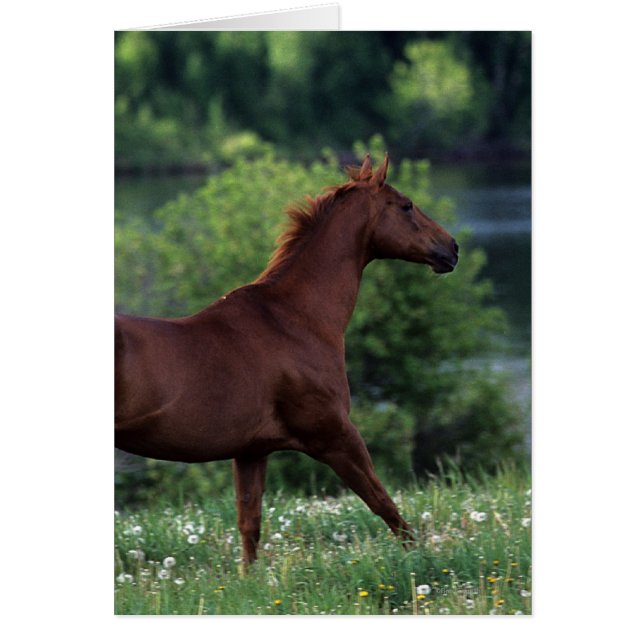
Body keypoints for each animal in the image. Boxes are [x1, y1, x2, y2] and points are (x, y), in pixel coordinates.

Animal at [115, 153, 459, 566]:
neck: (294, 319)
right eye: (406, 205)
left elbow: (249, 527)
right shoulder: (335, 436)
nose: (452, 248)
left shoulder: (251, 452)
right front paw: (422, 561)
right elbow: (384, 504)